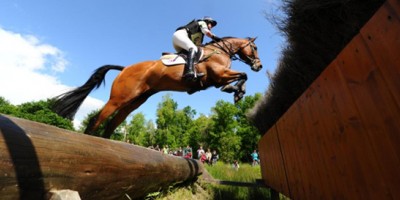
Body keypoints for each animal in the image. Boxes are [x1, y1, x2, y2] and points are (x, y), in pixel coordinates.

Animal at [53, 36, 264, 138]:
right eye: (254, 48)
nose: (259, 66)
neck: (220, 51)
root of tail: (125, 68)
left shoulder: (217, 79)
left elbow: (238, 79)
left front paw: (236, 91)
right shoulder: (219, 74)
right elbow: (242, 75)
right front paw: (238, 91)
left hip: (134, 101)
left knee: (113, 123)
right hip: (118, 99)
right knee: (97, 119)